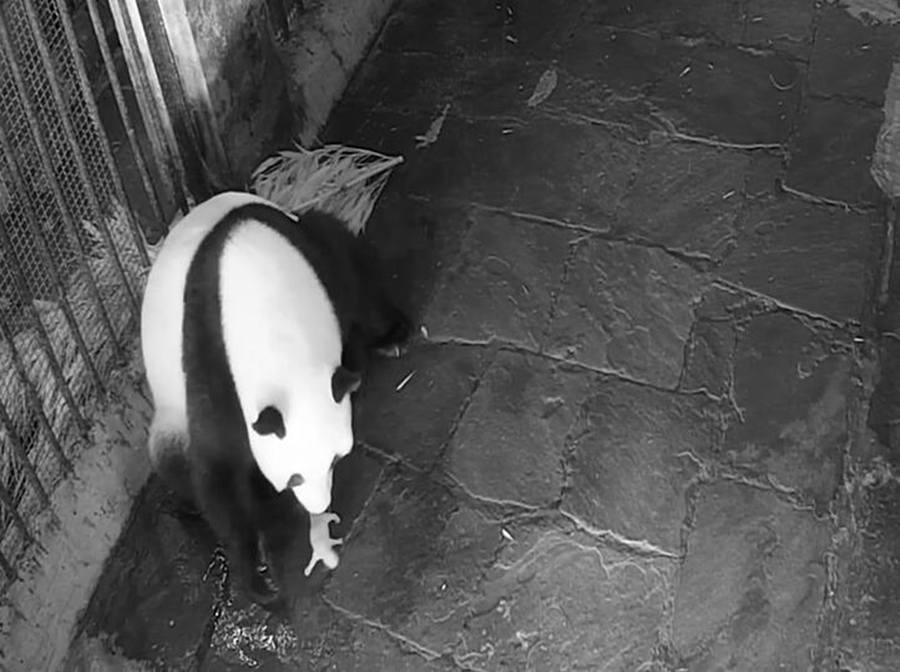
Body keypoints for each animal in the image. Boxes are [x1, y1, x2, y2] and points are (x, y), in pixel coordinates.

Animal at [140, 191, 410, 604]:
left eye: (335, 460)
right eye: (294, 476)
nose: (319, 505)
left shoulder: (313, 260)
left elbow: (351, 283)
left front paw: (386, 338)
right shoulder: (210, 354)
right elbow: (217, 472)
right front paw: (257, 577)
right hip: (169, 412)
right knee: (171, 459)